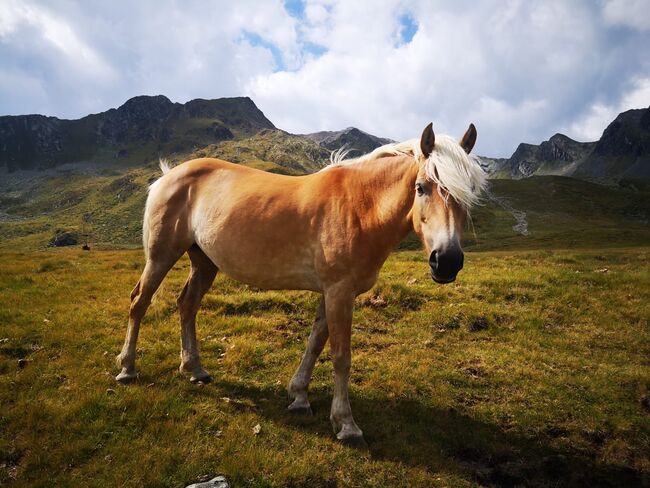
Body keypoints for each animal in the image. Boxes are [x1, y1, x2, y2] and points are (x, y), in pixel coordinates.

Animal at [116, 122, 484, 446]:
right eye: (421, 187)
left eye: (469, 192)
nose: (446, 261)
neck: (361, 207)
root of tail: (168, 175)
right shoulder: (339, 292)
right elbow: (340, 355)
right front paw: (346, 424)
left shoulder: (332, 292)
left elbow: (315, 343)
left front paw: (299, 397)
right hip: (161, 256)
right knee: (139, 302)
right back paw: (127, 369)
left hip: (204, 262)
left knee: (187, 305)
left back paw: (194, 369)